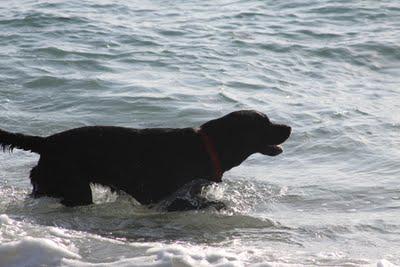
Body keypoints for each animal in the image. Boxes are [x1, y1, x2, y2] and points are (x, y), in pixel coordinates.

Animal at [0, 110, 290, 210]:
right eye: (264, 123)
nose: (289, 127)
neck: (209, 146)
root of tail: (46, 141)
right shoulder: (166, 198)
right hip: (74, 187)